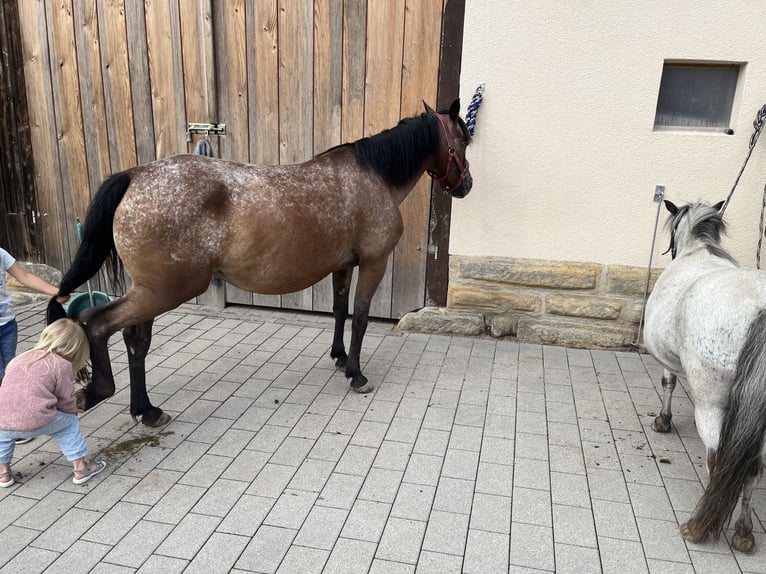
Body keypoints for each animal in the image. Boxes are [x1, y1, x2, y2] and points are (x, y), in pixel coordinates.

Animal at [47, 99, 472, 428]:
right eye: (464, 140)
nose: (466, 185)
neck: (373, 175)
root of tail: (133, 176)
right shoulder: (373, 263)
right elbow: (362, 317)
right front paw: (356, 373)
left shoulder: (343, 265)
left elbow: (339, 309)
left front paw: (338, 358)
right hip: (164, 291)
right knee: (96, 323)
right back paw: (99, 391)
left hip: (151, 292)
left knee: (136, 342)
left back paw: (147, 411)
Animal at [643, 200, 766, 553]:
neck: (696, 250)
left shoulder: (669, 361)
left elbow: (668, 382)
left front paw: (663, 421)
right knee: (753, 470)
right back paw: (743, 531)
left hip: (712, 406)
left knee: (718, 461)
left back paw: (700, 525)